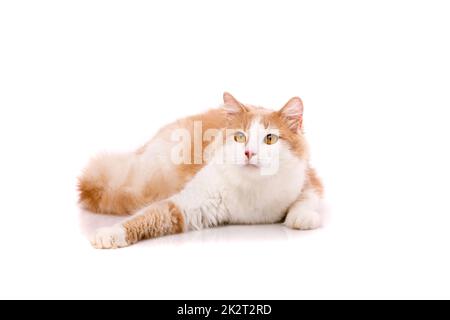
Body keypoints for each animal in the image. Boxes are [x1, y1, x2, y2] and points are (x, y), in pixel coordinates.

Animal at [77, 91, 324, 249]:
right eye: (239, 137)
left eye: (270, 139)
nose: (249, 153)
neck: (254, 188)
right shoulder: (187, 205)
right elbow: (144, 217)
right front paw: (110, 233)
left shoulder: (310, 179)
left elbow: (307, 200)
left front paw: (302, 217)